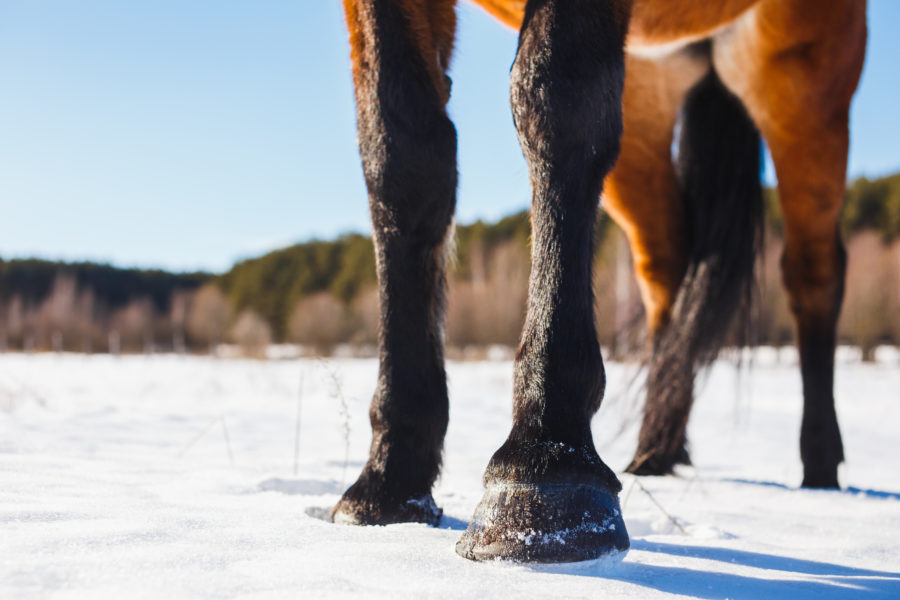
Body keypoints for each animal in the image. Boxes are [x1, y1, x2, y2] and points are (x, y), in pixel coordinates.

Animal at [330, 0, 864, 564]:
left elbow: (557, 98)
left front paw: (542, 466)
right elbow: (400, 153)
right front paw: (390, 478)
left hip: (800, 76)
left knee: (814, 274)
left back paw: (821, 467)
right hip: (651, 94)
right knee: (669, 270)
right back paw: (656, 450)